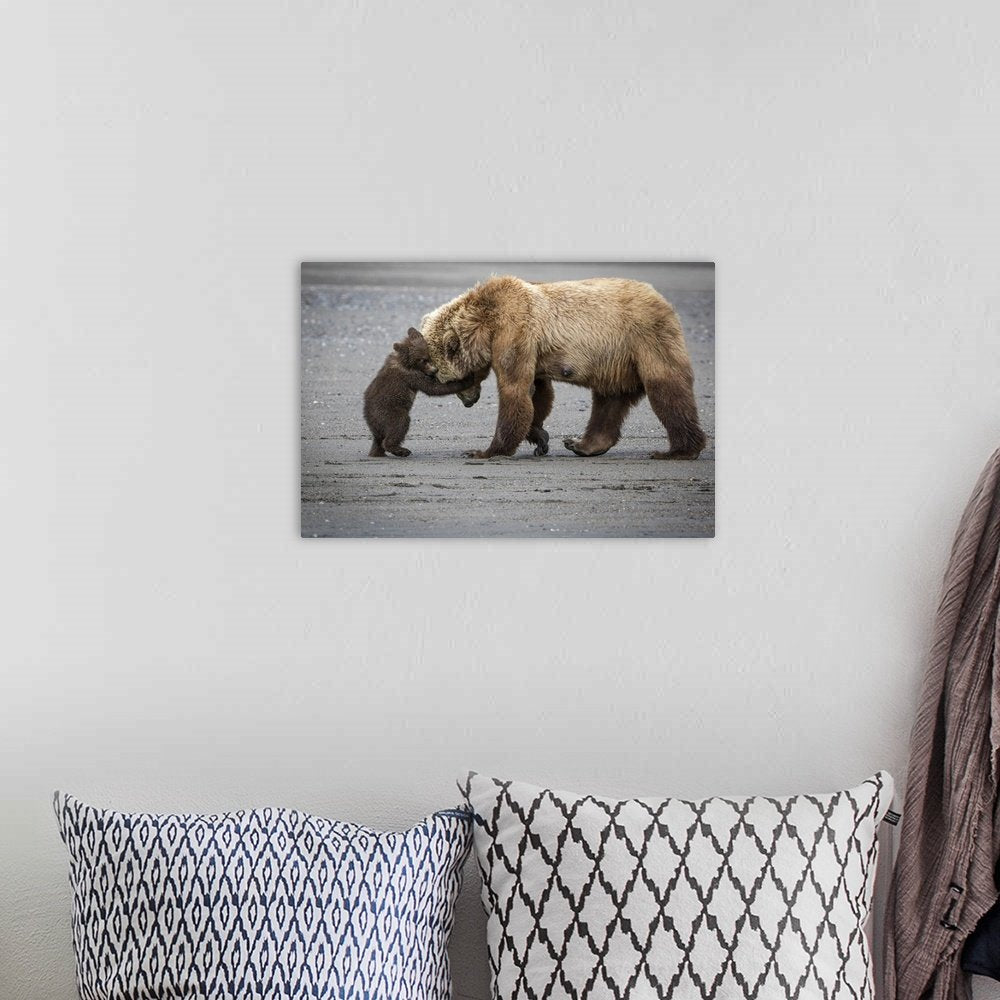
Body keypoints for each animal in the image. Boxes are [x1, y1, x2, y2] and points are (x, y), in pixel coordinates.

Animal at [363, 328, 479, 457]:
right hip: (388, 411)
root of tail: (369, 418)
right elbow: (433, 388)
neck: (406, 363)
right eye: (422, 360)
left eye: (429, 356)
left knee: (378, 440)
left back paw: (377, 452)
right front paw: (468, 378)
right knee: (399, 424)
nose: (435, 370)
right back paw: (401, 450)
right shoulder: (411, 376)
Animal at [418, 276, 706, 460]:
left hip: (645, 338)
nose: (469, 402)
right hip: (616, 360)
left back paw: (679, 450)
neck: (486, 323)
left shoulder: (515, 331)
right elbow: (537, 393)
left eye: (445, 378)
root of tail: (663, 300)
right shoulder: (530, 347)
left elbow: (515, 391)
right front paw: (540, 437)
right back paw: (583, 444)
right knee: (609, 400)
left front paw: (484, 451)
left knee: (667, 389)